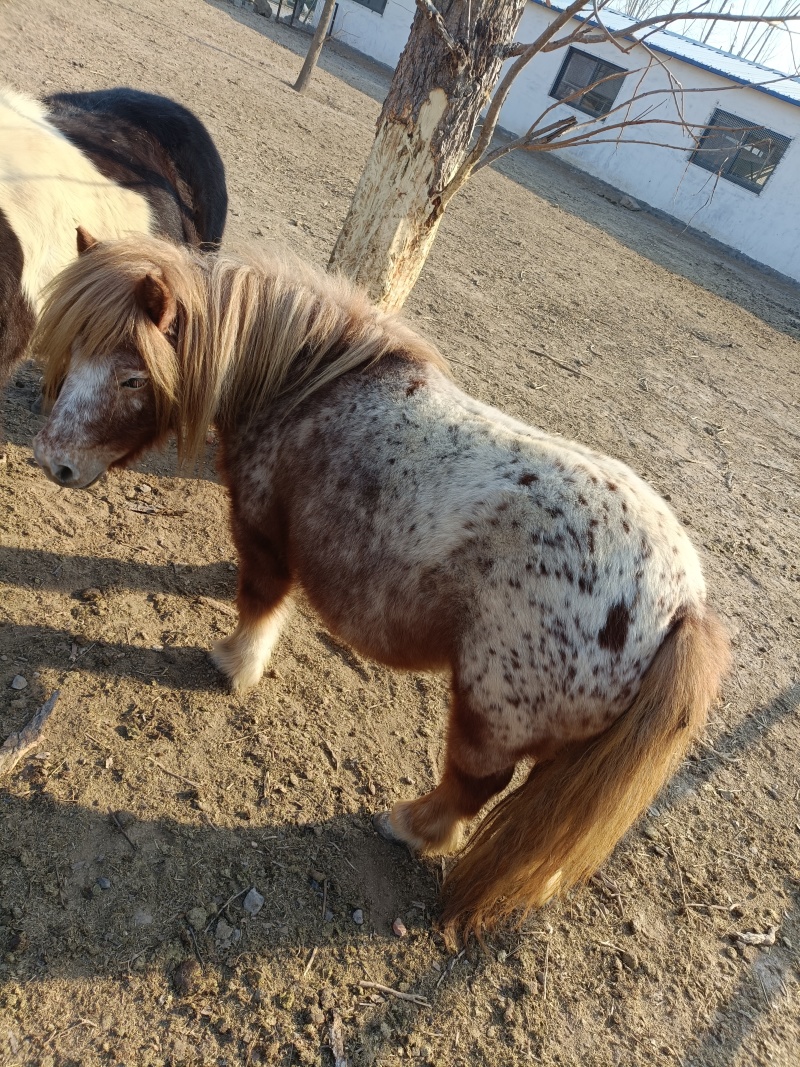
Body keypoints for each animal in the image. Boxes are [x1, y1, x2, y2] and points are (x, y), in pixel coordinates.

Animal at [31, 231, 730, 940]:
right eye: (72, 349)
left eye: (133, 376)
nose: (53, 463)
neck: (305, 389)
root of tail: (682, 604)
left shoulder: (261, 532)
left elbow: (259, 601)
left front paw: (234, 664)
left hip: (491, 712)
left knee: (476, 786)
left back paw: (411, 826)